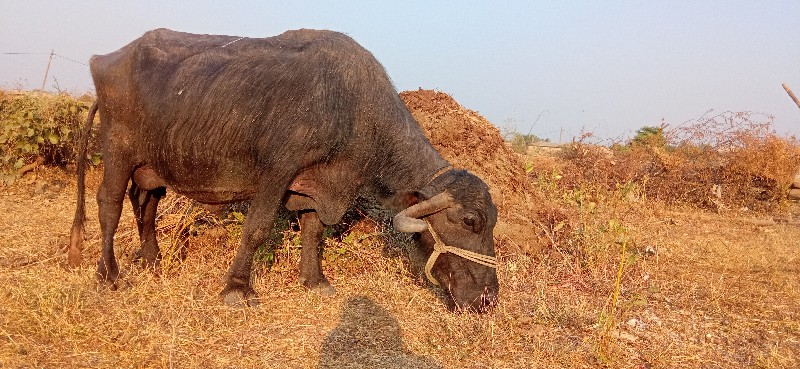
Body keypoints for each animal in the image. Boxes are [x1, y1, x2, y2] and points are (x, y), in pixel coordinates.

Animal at [69, 28, 496, 310]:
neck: (348, 108)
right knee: (109, 205)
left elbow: (313, 231)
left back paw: (153, 262)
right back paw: (108, 274)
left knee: (146, 205)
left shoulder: (318, 185)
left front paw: (315, 280)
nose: (488, 297)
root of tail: (105, 61)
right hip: (117, 151)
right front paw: (237, 289)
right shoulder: (277, 172)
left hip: (151, 167)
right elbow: (257, 227)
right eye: (470, 221)